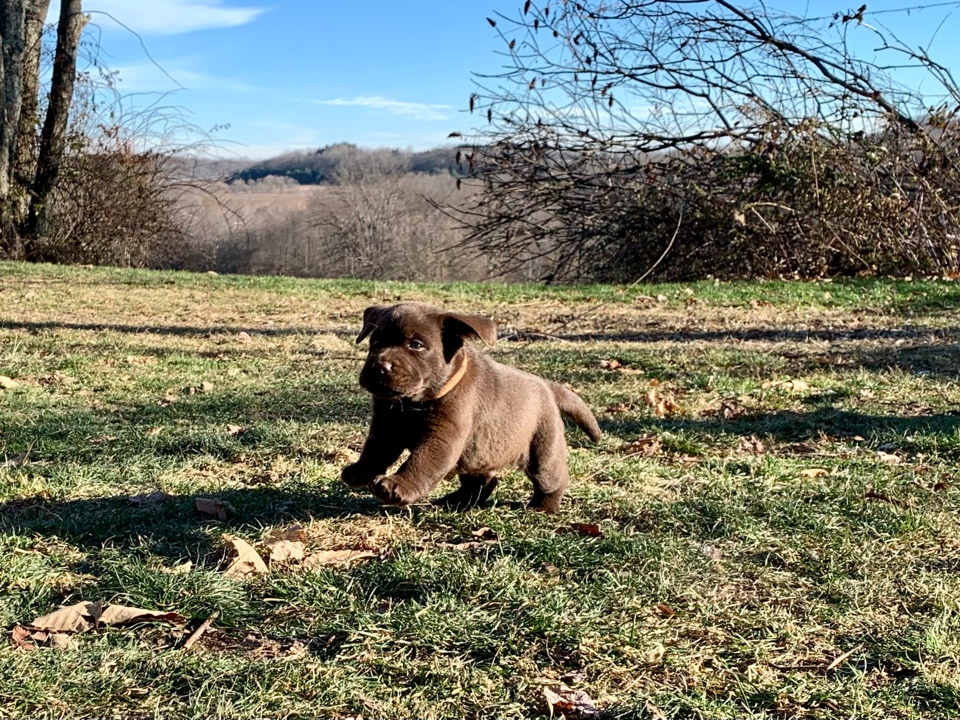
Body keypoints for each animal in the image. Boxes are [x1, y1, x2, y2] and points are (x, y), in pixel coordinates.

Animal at [340, 302, 601, 512]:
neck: (412, 404)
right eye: (375, 341)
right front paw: (360, 470)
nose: (379, 366)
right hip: (476, 453)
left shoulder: (443, 435)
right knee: (483, 482)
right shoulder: (386, 427)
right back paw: (454, 502)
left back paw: (543, 507)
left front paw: (398, 485)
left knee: (553, 480)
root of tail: (547, 385)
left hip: (543, 448)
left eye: (416, 345)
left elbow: (421, 461)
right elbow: (374, 450)